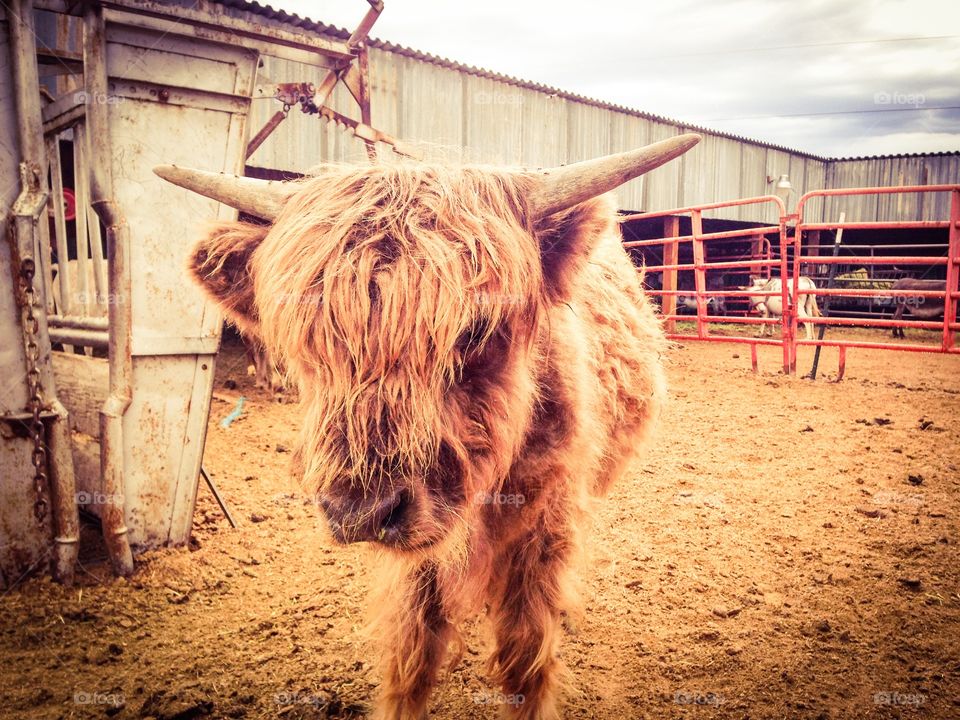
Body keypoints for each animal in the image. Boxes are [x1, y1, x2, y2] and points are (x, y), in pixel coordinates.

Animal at [155, 133, 701, 720]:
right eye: (305, 338)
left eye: (477, 328)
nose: (361, 511)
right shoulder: (419, 559)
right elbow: (412, 650)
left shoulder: (543, 529)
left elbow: (526, 655)